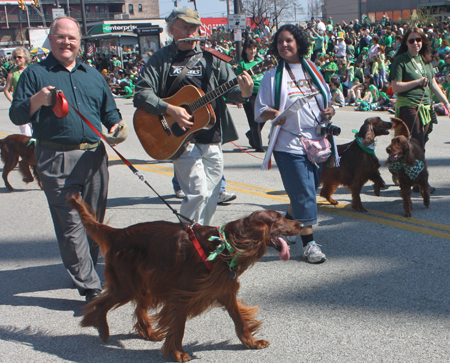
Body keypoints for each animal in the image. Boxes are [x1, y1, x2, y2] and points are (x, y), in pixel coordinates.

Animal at [67, 195, 302, 362]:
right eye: (278, 219)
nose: (301, 224)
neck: (224, 245)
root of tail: (117, 233)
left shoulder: (225, 291)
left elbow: (240, 321)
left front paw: (251, 342)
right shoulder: (182, 294)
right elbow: (179, 327)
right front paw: (178, 353)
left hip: (143, 283)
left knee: (138, 306)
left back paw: (148, 332)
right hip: (126, 285)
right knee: (101, 304)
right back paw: (101, 328)